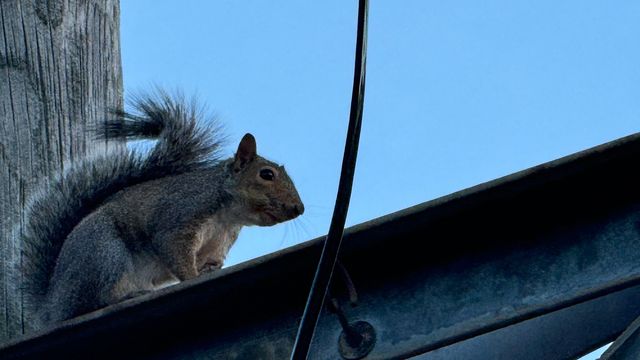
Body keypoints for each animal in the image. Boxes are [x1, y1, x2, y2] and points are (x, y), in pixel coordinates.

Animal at [21, 90, 306, 330]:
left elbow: (210, 262)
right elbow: (173, 249)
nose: (299, 208)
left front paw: (209, 271)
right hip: (103, 253)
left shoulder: (217, 244)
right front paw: (191, 276)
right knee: (93, 301)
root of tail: (53, 303)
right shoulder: (180, 216)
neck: (227, 216)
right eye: (266, 174)